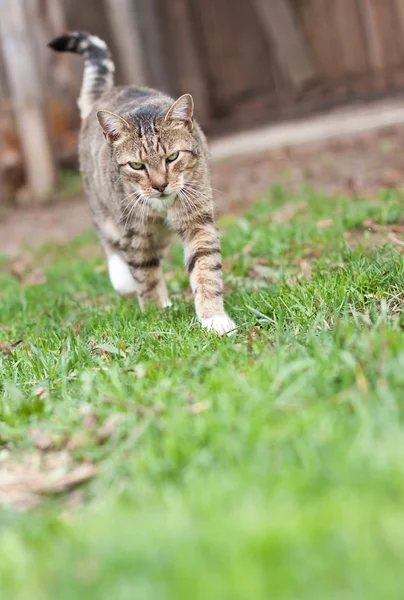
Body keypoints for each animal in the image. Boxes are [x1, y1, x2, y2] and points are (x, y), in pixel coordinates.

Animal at [48, 30, 235, 336]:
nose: (160, 185)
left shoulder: (197, 220)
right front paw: (157, 314)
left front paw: (213, 319)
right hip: (103, 209)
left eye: (172, 157)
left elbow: (205, 268)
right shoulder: (135, 231)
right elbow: (145, 274)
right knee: (109, 241)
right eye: (137, 166)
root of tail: (104, 94)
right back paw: (122, 279)